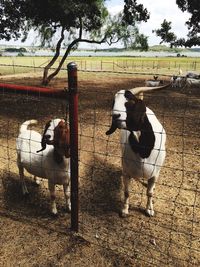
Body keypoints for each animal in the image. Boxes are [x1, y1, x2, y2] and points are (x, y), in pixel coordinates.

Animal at [105, 86, 166, 218]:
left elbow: (150, 193)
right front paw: (125, 210)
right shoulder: (127, 172)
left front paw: (149, 209)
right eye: (113, 102)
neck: (143, 151)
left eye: (131, 102)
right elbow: (127, 192)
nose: (115, 116)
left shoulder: (155, 174)